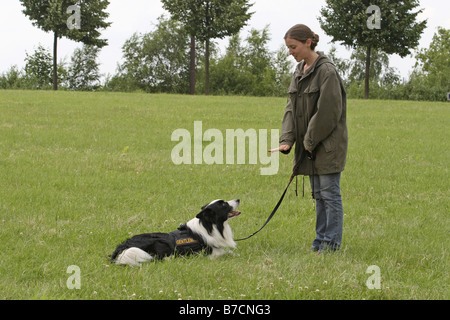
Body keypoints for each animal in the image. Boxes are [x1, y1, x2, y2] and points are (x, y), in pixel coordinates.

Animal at [110, 199, 241, 266]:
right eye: (223, 204)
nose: (238, 199)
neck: (210, 226)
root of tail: (122, 247)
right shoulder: (209, 253)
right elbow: (224, 252)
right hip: (158, 243)